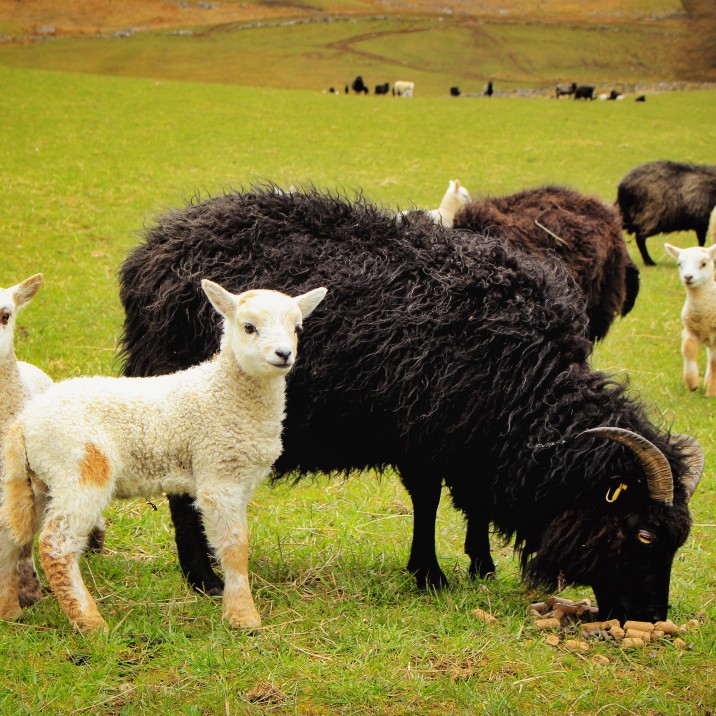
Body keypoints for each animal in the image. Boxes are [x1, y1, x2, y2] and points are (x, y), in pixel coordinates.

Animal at [0, 282, 327, 633]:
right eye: (248, 327)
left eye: (297, 328)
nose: (284, 354)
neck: (225, 391)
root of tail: (25, 422)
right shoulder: (217, 473)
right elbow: (235, 546)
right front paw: (243, 617)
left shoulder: (239, 479)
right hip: (79, 469)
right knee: (56, 546)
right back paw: (91, 623)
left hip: (36, 480)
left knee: (8, 533)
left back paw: (9, 611)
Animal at [664, 243, 716, 395]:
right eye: (679, 263)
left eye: (704, 263)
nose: (688, 277)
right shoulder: (690, 329)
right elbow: (688, 349)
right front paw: (692, 383)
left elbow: (715, 363)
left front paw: (711, 393)